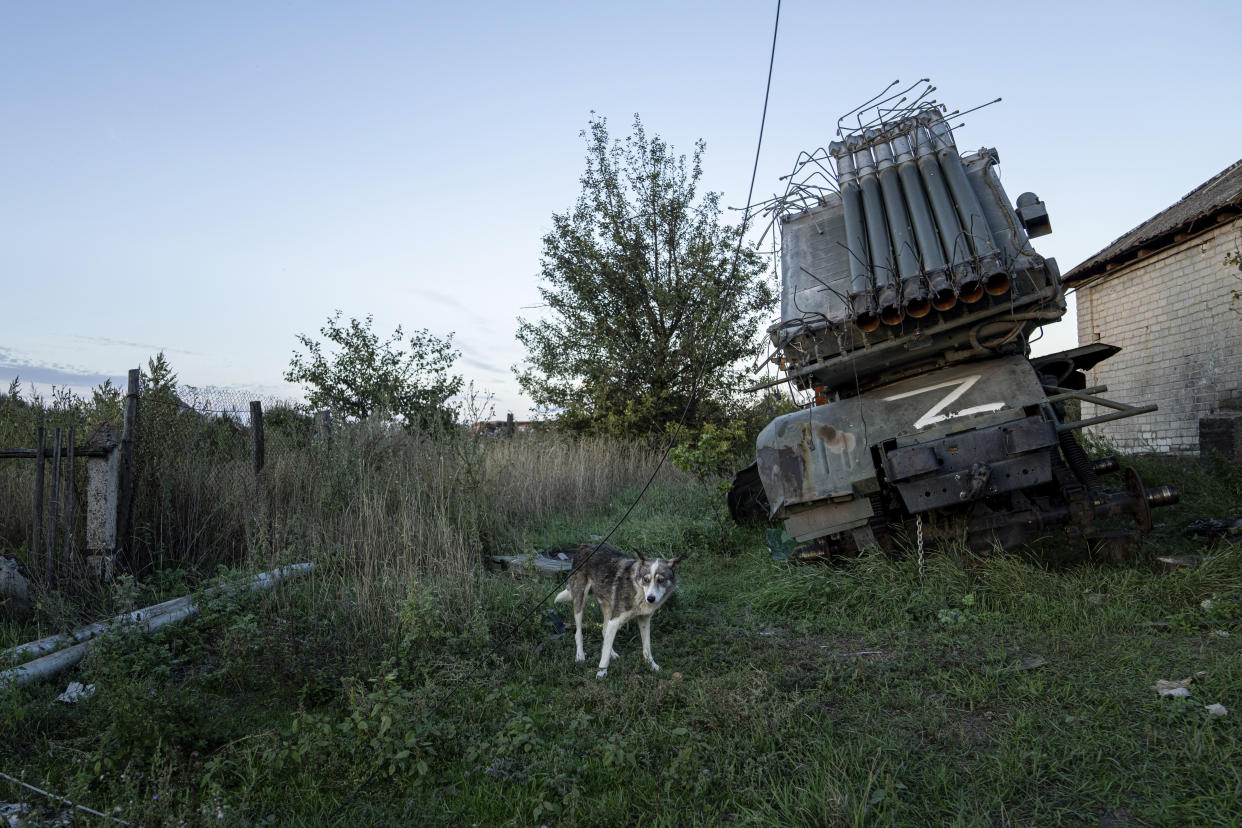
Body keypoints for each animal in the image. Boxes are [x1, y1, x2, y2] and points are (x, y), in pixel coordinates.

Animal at [556, 543, 685, 680]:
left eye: (661, 580)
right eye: (646, 580)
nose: (650, 599)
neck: (638, 589)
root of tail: (584, 546)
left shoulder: (644, 619)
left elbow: (647, 647)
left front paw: (651, 665)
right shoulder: (615, 621)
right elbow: (604, 654)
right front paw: (601, 673)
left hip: (608, 607)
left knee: (604, 631)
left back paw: (612, 653)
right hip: (580, 601)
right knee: (578, 633)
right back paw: (580, 655)